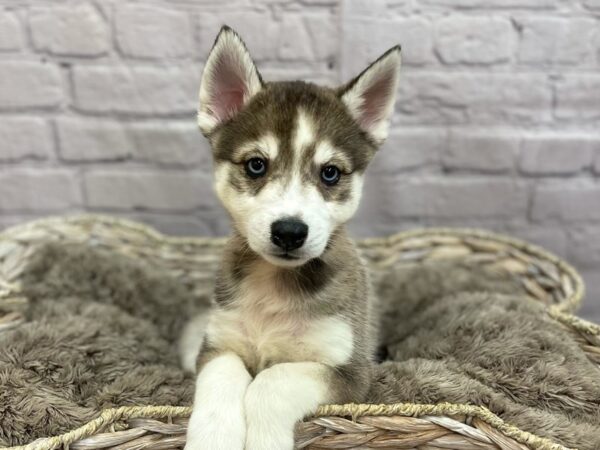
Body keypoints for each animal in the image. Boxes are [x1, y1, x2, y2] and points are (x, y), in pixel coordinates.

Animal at [180, 25, 400, 450]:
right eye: (256, 165)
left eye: (330, 173)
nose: (289, 231)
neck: (274, 286)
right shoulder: (219, 345)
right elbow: (222, 375)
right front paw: (213, 437)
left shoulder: (350, 371)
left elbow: (272, 381)